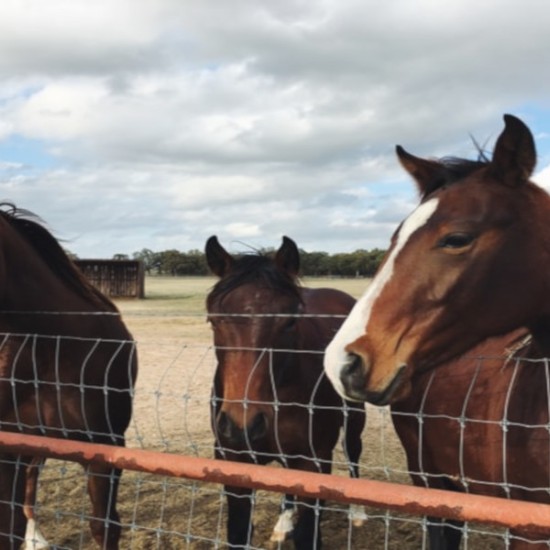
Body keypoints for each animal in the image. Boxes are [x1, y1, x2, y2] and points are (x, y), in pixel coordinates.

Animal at [206, 237, 366, 550]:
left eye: (290, 321)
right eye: (213, 321)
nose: (243, 424)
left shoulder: (313, 463)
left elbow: (308, 534)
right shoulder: (234, 461)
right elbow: (238, 533)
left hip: (354, 417)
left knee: (353, 450)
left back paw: (357, 512)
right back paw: (284, 521)